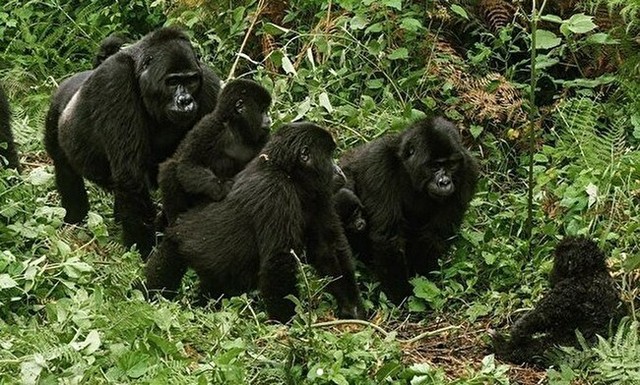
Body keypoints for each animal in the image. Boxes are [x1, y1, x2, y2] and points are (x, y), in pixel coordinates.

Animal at [43, 27, 220, 258]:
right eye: (172, 82)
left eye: (191, 81)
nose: (185, 101)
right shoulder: (114, 81)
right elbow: (131, 176)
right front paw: (143, 251)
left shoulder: (209, 87)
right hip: (56, 111)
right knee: (65, 169)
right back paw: (75, 219)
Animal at [146, 121, 364, 320]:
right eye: (329, 156)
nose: (339, 170)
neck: (287, 172)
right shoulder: (276, 194)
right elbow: (278, 264)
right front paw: (287, 325)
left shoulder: (319, 195)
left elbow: (328, 248)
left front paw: (352, 308)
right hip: (178, 241)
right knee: (166, 266)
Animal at [160, 77, 272, 222]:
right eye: (262, 110)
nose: (269, 120)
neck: (237, 129)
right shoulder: (209, 126)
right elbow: (188, 165)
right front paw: (219, 188)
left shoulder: (265, 137)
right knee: (170, 167)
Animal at [342, 115, 478, 302]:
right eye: (435, 166)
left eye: (451, 165)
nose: (444, 182)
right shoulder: (378, 161)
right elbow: (388, 237)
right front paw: (401, 297)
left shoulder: (468, 171)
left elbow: (434, 235)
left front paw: (420, 280)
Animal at [492, 236, 628, 364]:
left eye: (557, 261)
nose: (551, 273)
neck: (591, 272)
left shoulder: (565, 292)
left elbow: (540, 317)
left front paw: (516, 334)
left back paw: (502, 346)